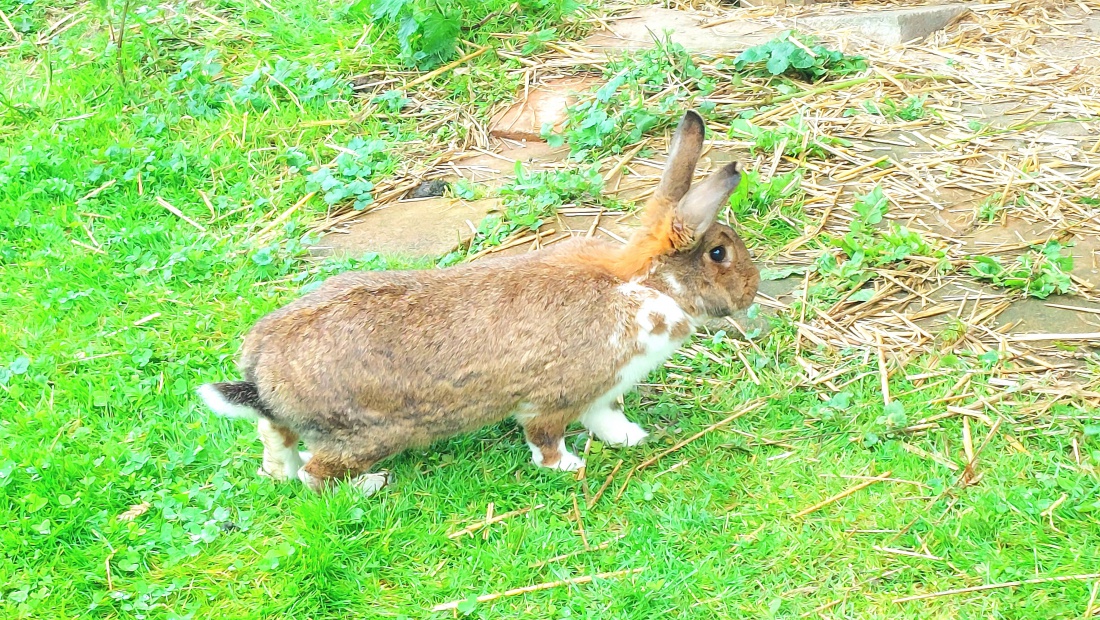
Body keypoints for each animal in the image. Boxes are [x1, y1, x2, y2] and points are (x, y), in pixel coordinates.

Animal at [198, 108, 761, 496]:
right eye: (719, 253)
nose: (753, 288)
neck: (644, 284)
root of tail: (261, 371)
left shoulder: (603, 392)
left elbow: (607, 418)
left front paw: (632, 438)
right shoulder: (555, 396)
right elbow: (546, 436)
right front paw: (568, 467)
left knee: (277, 444)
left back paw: (278, 470)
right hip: (367, 435)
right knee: (317, 476)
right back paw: (370, 486)